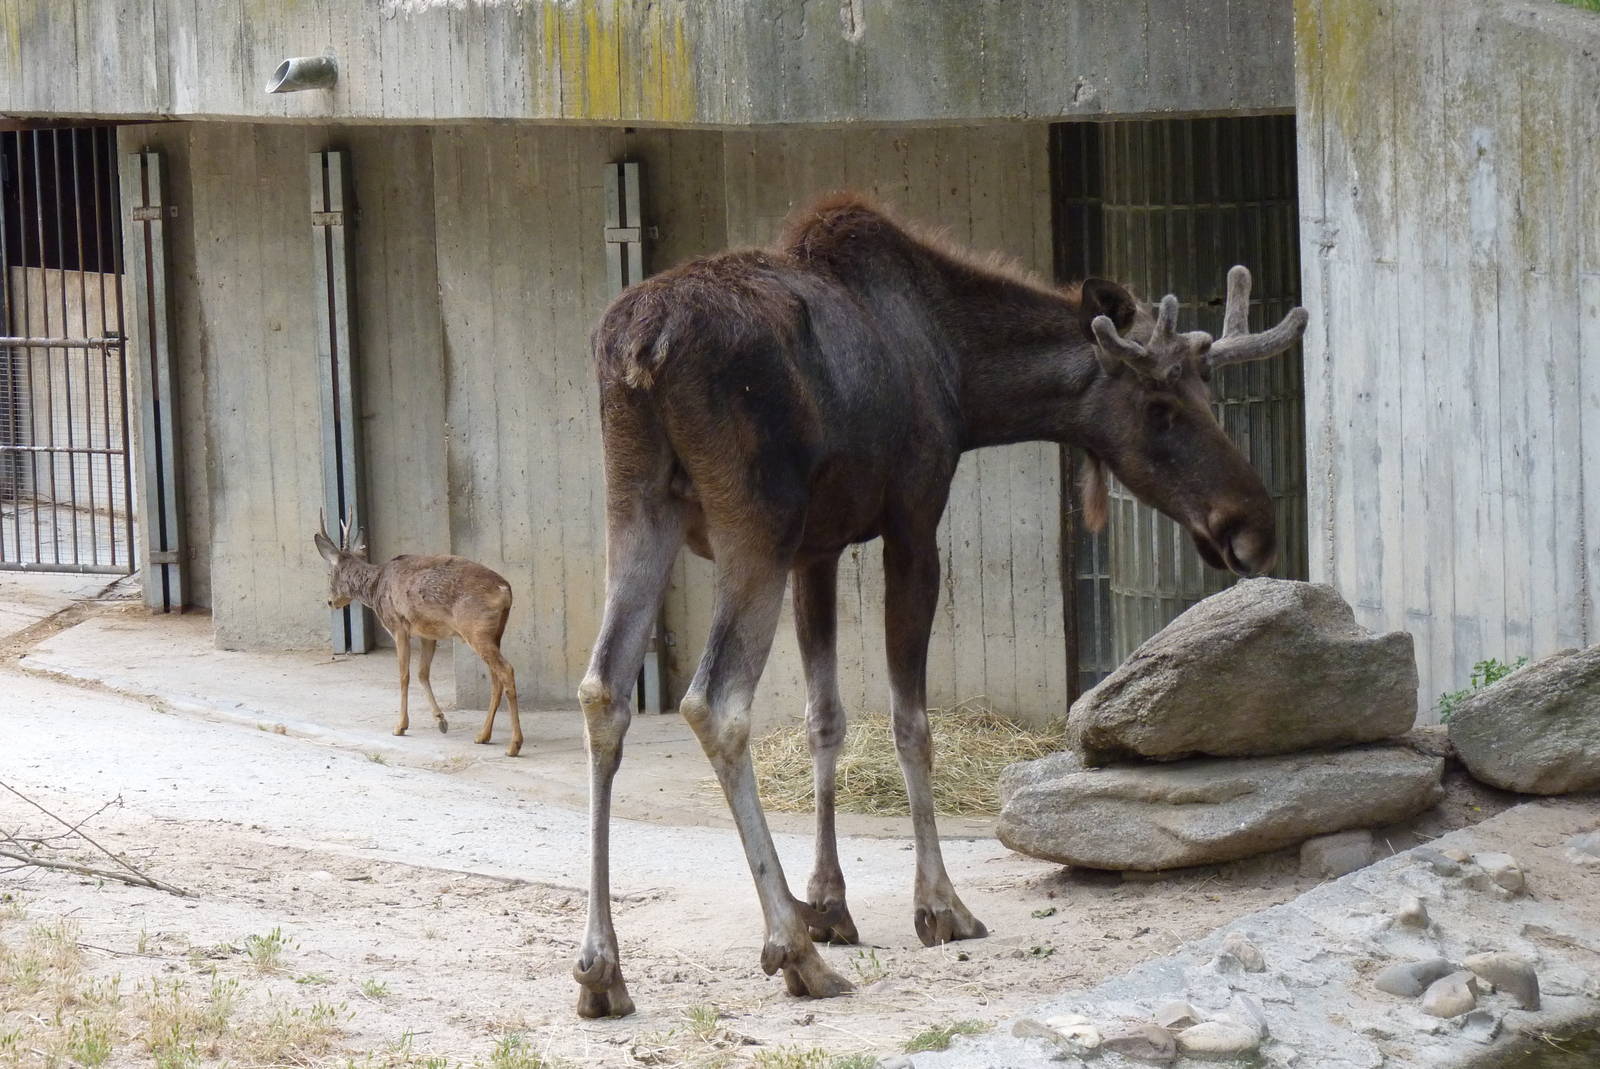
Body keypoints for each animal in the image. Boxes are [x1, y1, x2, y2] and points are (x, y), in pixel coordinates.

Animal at [313, 513, 523, 757]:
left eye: (330, 573)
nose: (330, 601)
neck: (375, 588)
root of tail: (505, 589)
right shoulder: (427, 633)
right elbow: (423, 673)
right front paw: (441, 720)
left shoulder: (398, 625)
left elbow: (404, 675)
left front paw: (400, 726)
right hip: (494, 633)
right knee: (496, 678)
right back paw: (483, 736)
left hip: (476, 629)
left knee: (506, 670)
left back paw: (514, 745)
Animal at [571, 193, 1308, 1018]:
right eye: (1159, 405)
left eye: (1205, 394)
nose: (1252, 525)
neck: (966, 375)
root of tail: (641, 349)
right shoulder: (913, 521)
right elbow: (910, 723)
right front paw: (937, 903)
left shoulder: (818, 548)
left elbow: (825, 718)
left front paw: (830, 903)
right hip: (753, 522)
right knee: (715, 701)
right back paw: (789, 950)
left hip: (638, 504)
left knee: (603, 689)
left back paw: (602, 966)